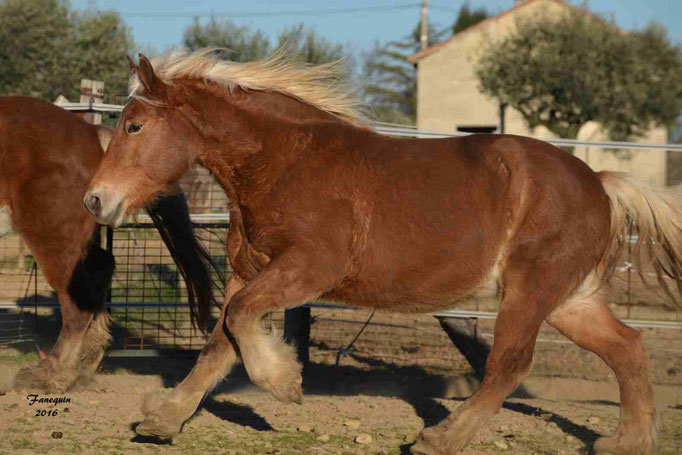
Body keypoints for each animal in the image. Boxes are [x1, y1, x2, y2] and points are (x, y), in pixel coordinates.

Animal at [1, 97, 214, 396]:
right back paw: (85, 361)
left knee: (78, 299)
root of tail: (89, 132)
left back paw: (51, 374)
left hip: (50, 232)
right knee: (100, 270)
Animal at [82, 50, 676, 455]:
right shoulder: (247, 272)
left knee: (510, 363)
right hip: (571, 300)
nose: (95, 199)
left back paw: (440, 437)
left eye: (134, 125)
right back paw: (629, 441)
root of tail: (599, 182)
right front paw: (163, 420)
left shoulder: (308, 269)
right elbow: (220, 342)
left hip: (532, 290)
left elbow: (240, 322)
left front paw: (285, 383)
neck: (285, 162)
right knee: (628, 347)